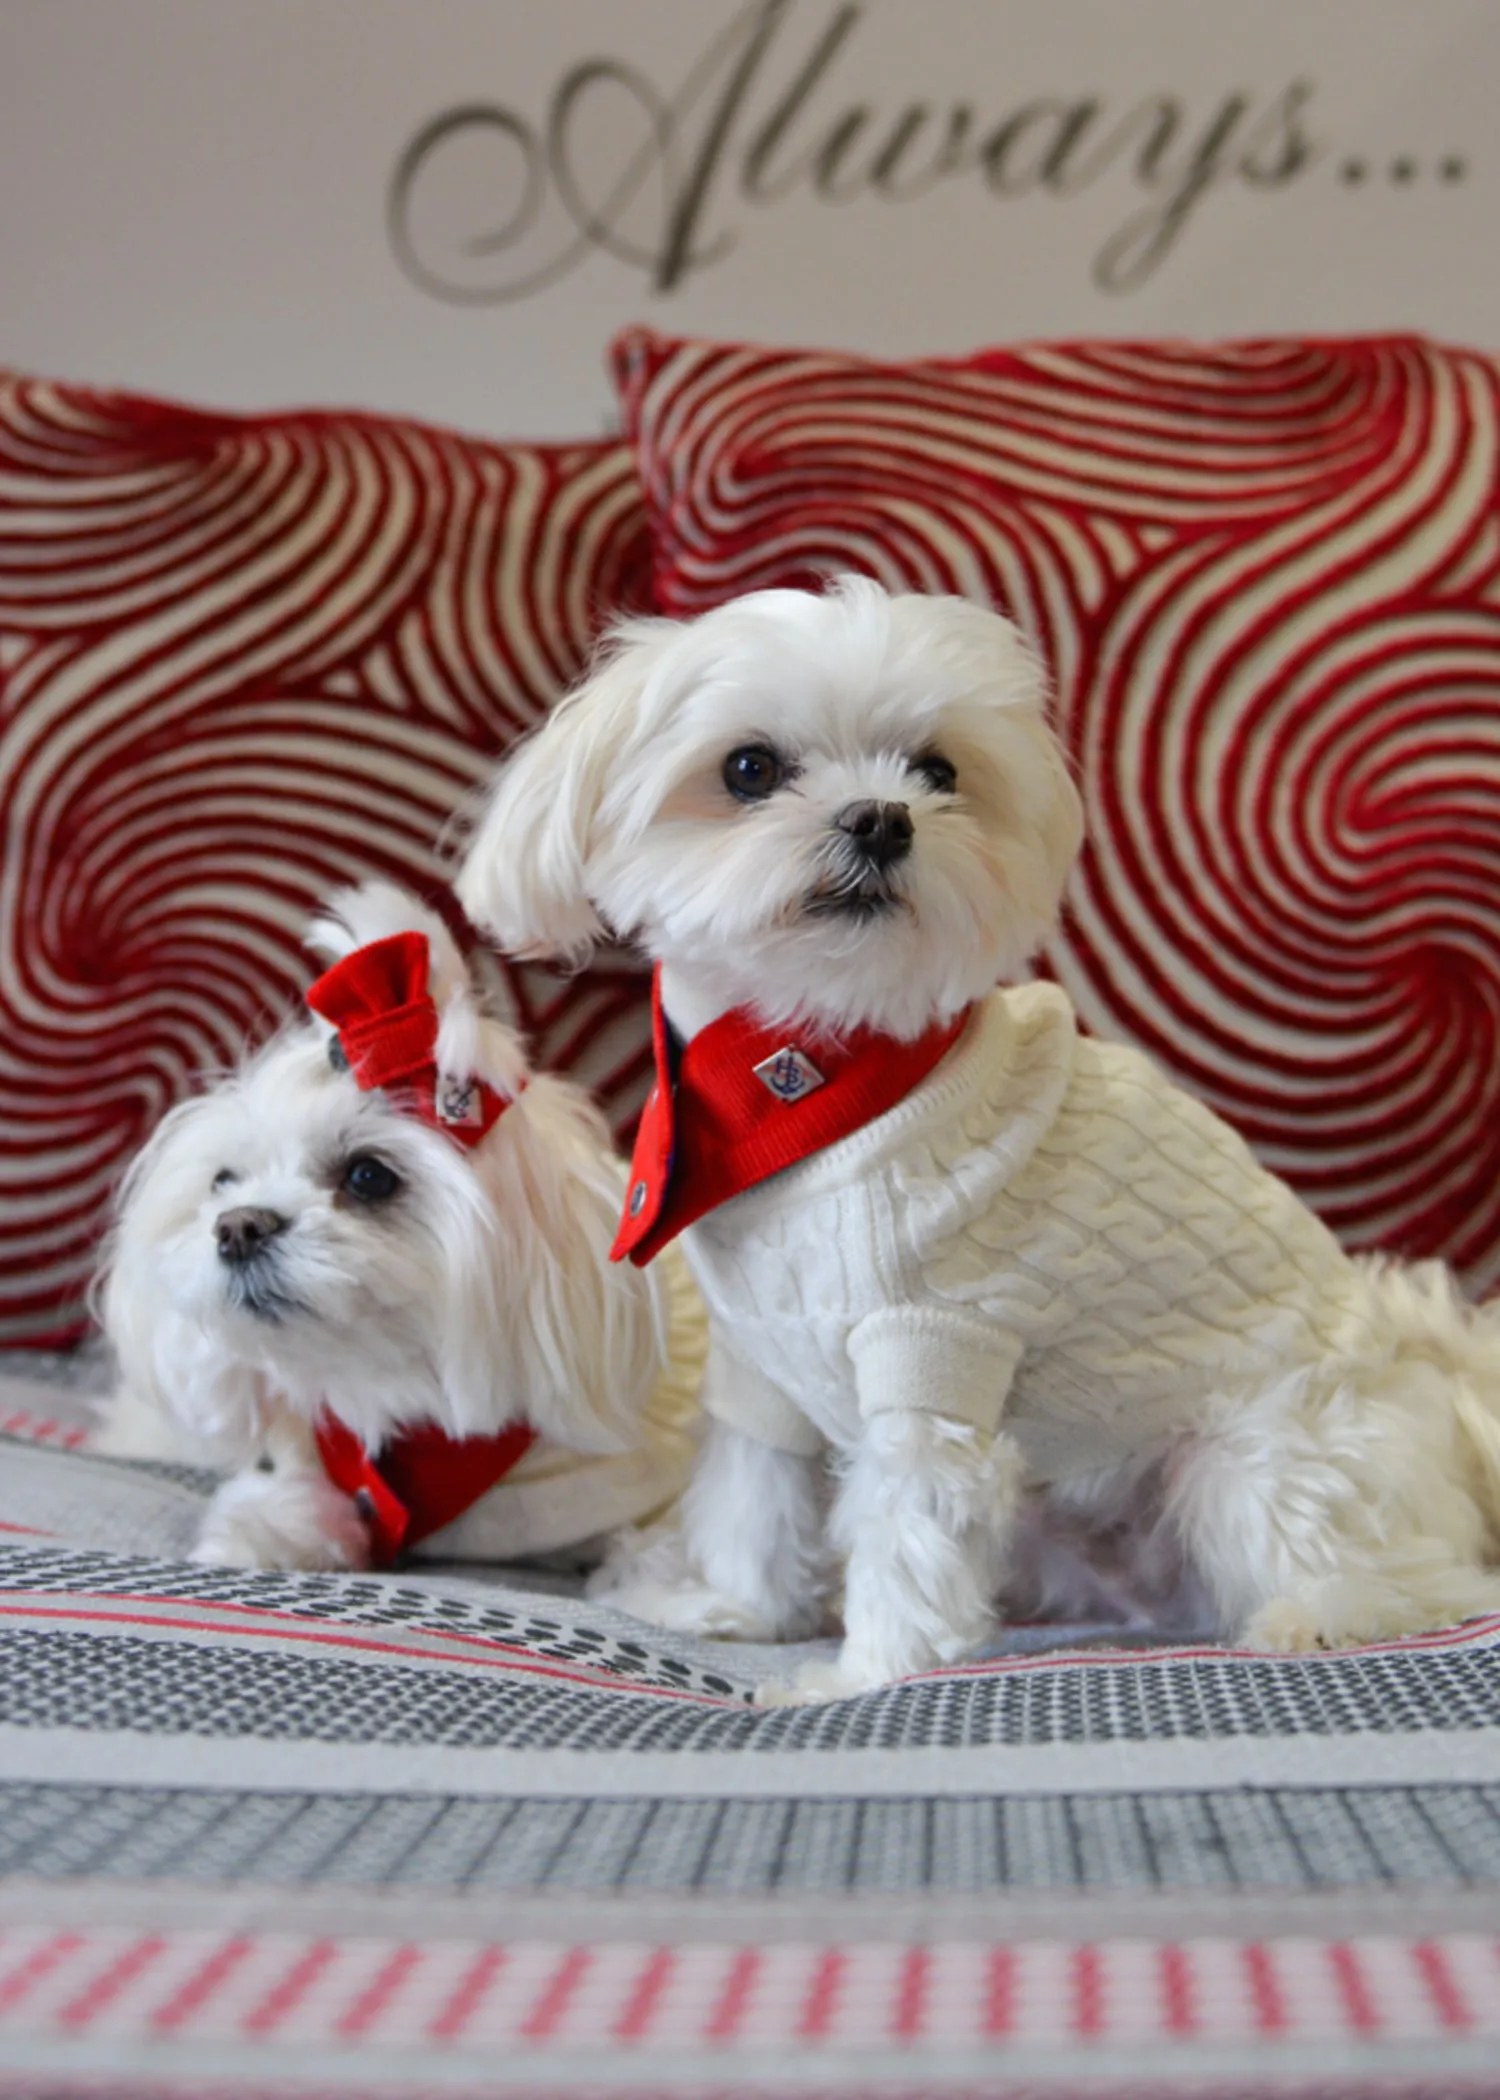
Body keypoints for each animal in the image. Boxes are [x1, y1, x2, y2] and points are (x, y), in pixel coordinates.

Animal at [455, 579, 1495, 1705]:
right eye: (749, 769)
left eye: (938, 771)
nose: (881, 817)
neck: (809, 1080)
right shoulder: (759, 1360)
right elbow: (755, 1494)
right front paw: (735, 1609)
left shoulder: (936, 1348)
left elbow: (905, 1525)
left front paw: (863, 1676)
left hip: (1253, 1454)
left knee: (1411, 1576)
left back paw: (1317, 1615)